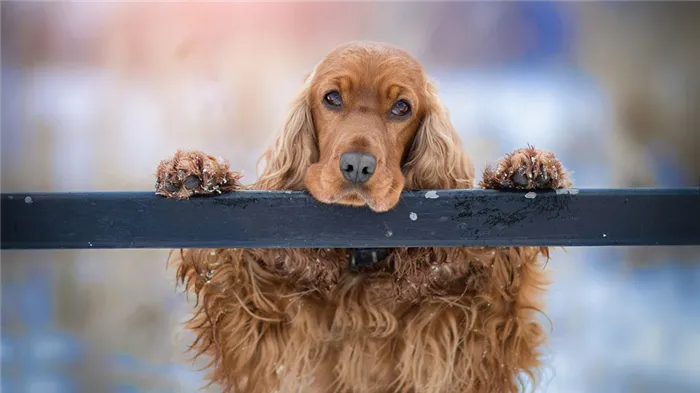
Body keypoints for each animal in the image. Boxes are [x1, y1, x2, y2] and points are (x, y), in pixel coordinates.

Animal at [156, 42, 572, 392]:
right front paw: (195, 170)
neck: (362, 261)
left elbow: (502, 284)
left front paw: (525, 168)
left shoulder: (468, 338)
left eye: (402, 107)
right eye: (332, 98)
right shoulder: (263, 334)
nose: (357, 166)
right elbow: (227, 270)